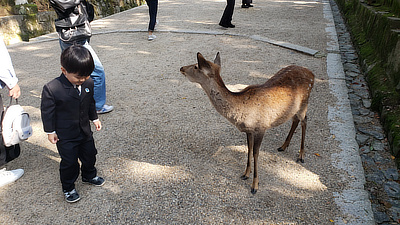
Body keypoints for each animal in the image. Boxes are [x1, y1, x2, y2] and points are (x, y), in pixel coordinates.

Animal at [180, 52, 314, 193]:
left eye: (196, 66)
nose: (181, 68)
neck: (242, 110)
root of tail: (312, 74)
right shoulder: (249, 130)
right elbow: (249, 149)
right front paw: (245, 174)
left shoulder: (261, 127)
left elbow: (256, 153)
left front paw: (255, 185)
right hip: (294, 109)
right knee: (295, 120)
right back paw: (283, 146)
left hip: (304, 102)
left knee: (305, 120)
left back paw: (301, 155)